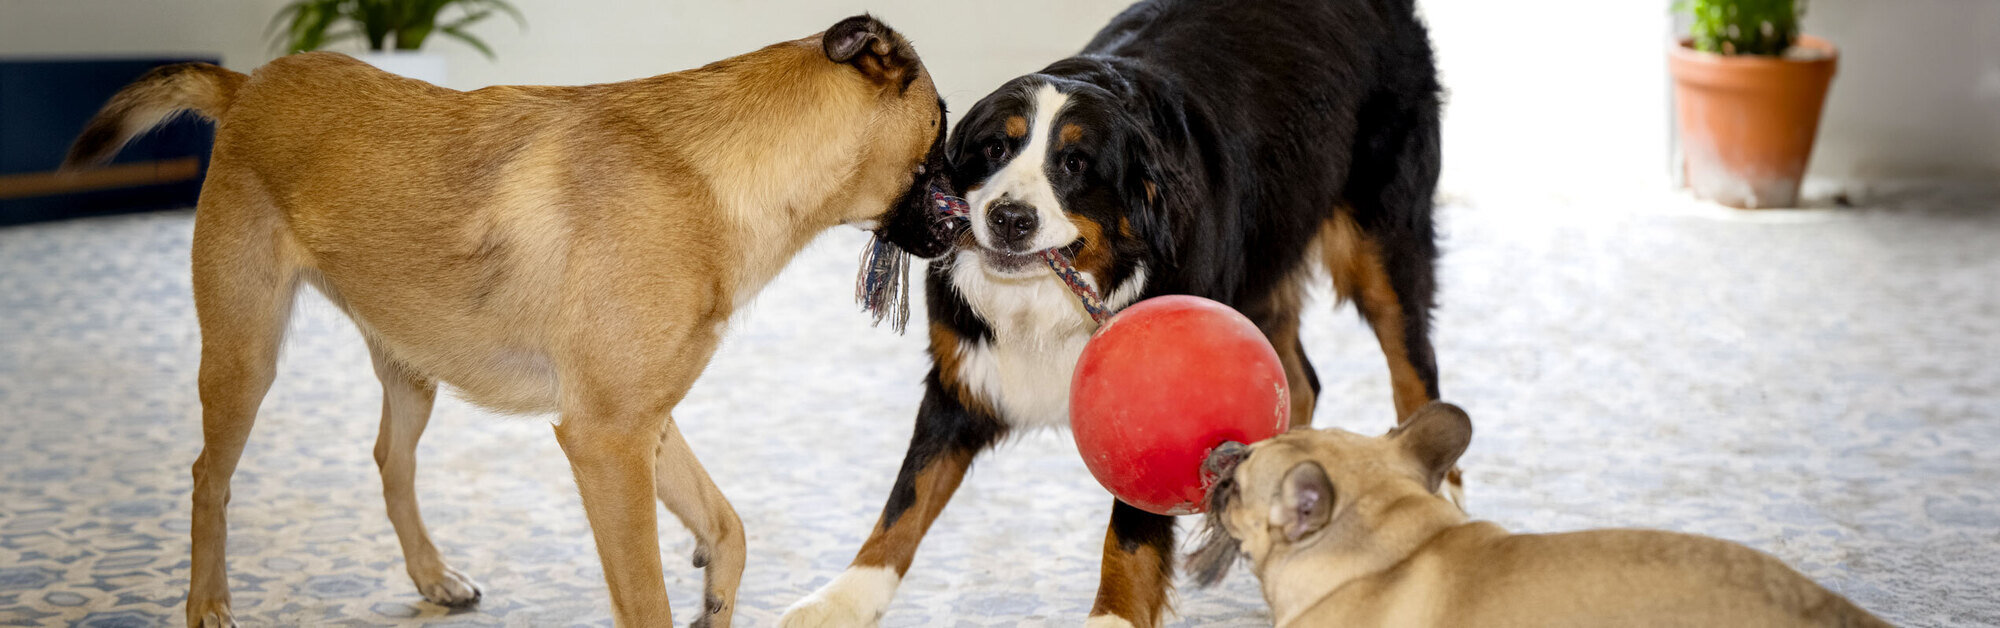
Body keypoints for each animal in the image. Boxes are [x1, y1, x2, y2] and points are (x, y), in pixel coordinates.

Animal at [66, 14, 956, 628]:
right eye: (944, 129)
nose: (968, 225)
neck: (710, 175)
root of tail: (248, 84)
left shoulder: (644, 426)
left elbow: (728, 526)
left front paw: (716, 598)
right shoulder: (605, 441)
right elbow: (648, 596)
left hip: (411, 369)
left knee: (390, 463)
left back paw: (431, 577)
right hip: (244, 357)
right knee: (206, 479)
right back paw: (207, 601)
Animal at [788, 2, 1448, 624]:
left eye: (1076, 164)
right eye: (994, 148)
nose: (1009, 217)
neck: (1049, 303)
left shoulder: (1154, 408)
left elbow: (1130, 533)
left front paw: (1112, 616)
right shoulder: (963, 376)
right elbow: (906, 499)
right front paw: (843, 598)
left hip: (1382, 247)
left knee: (1414, 373)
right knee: (1299, 380)